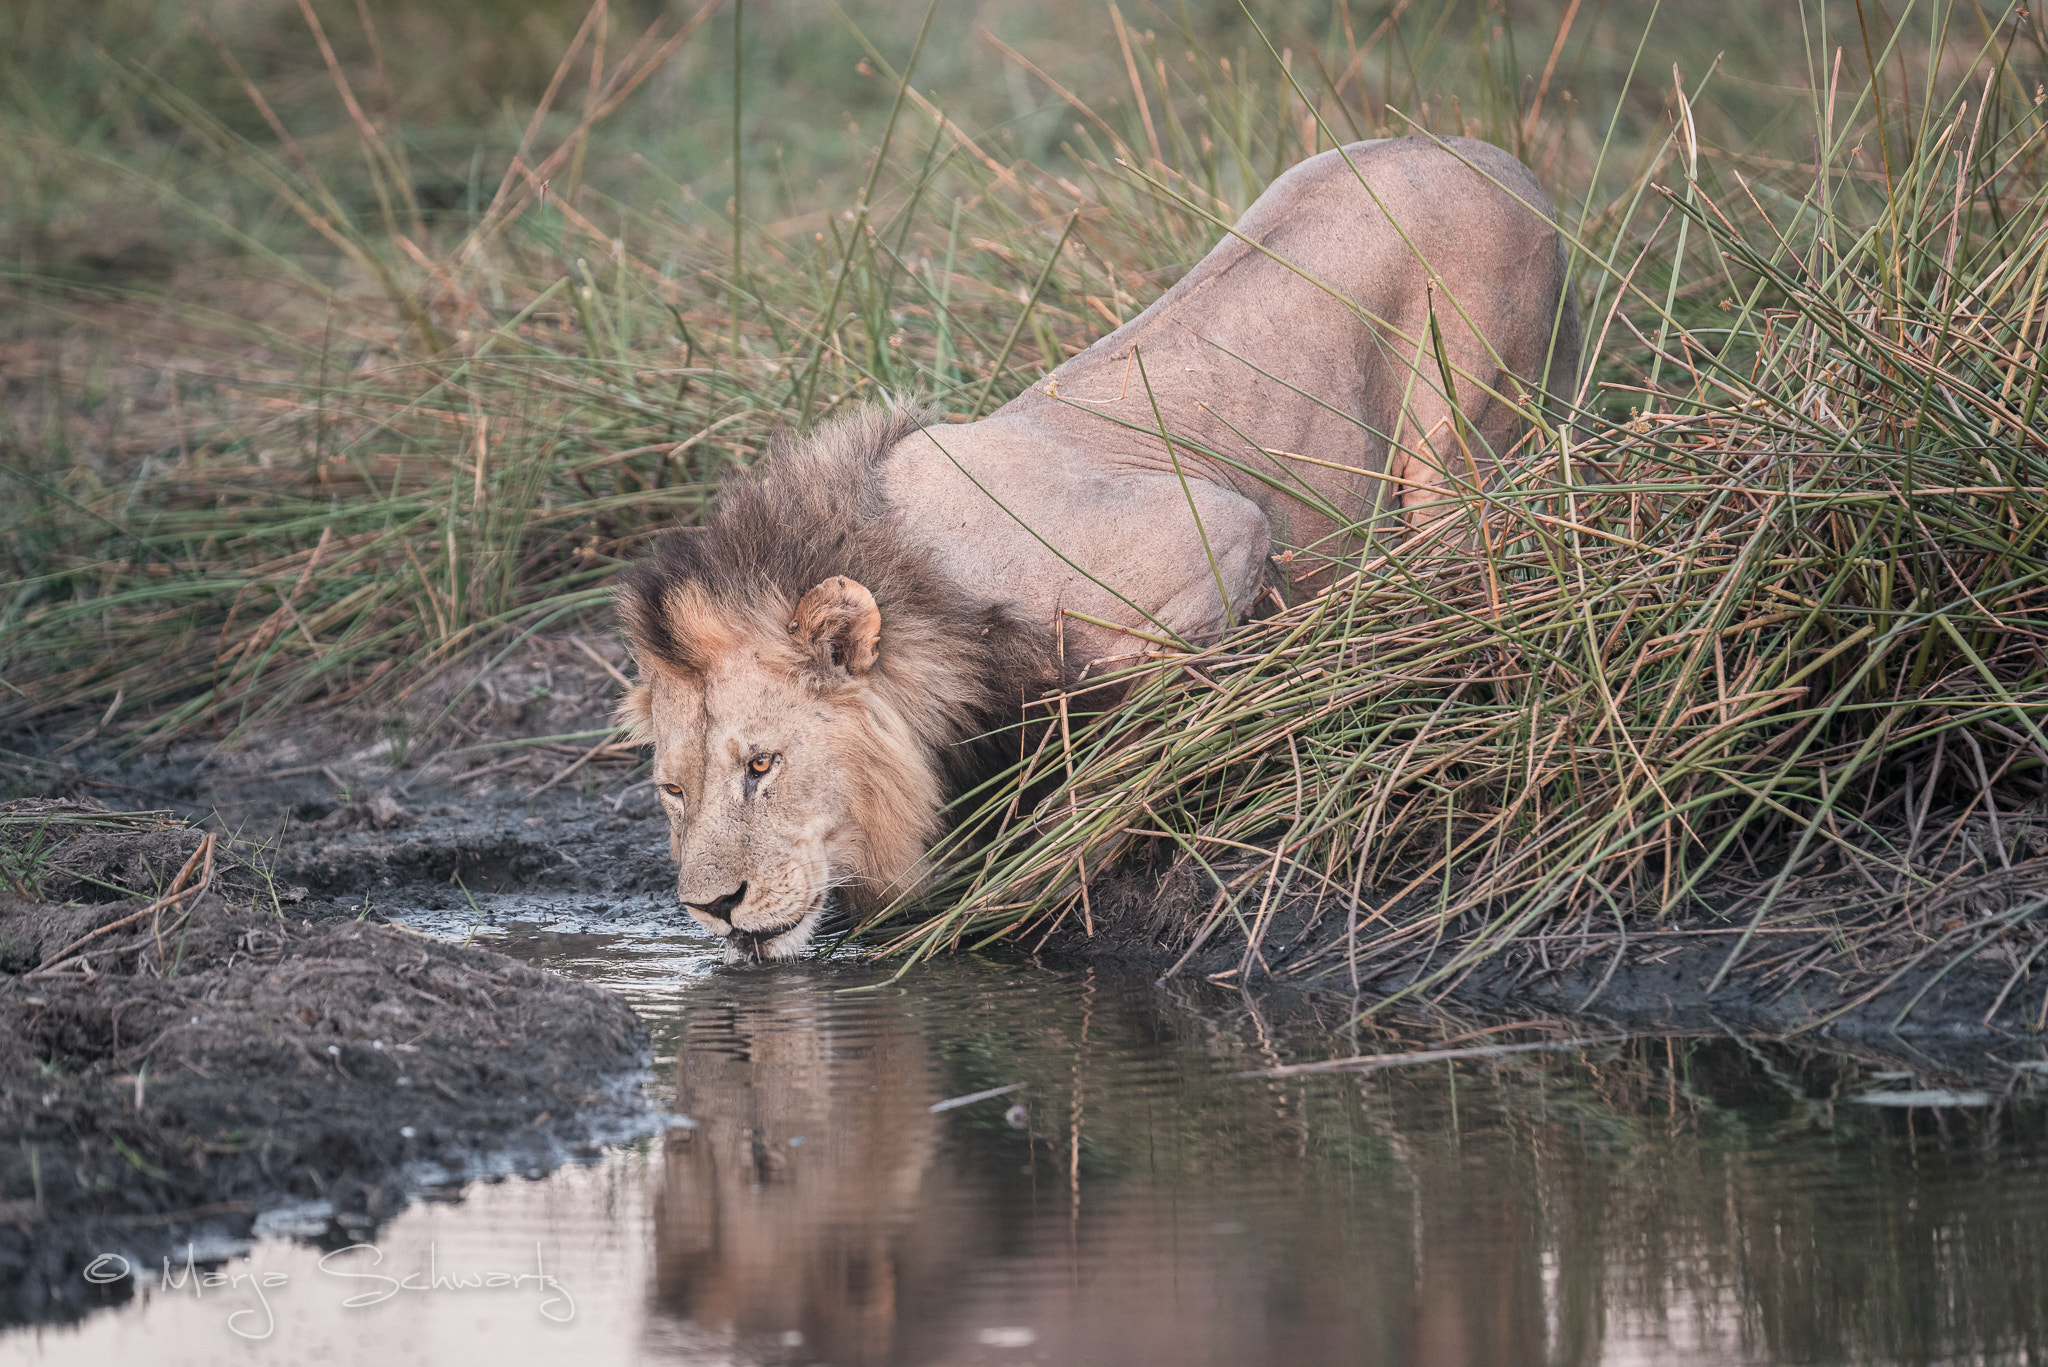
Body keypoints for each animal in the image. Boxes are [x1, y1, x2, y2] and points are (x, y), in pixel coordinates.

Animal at [617, 135, 1579, 961]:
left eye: (762, 765)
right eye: (673, 789)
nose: (713, 907)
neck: (926, 593)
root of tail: (1496, 158)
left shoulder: (1221, 531)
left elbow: (1128, 728)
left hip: (1459, 439)